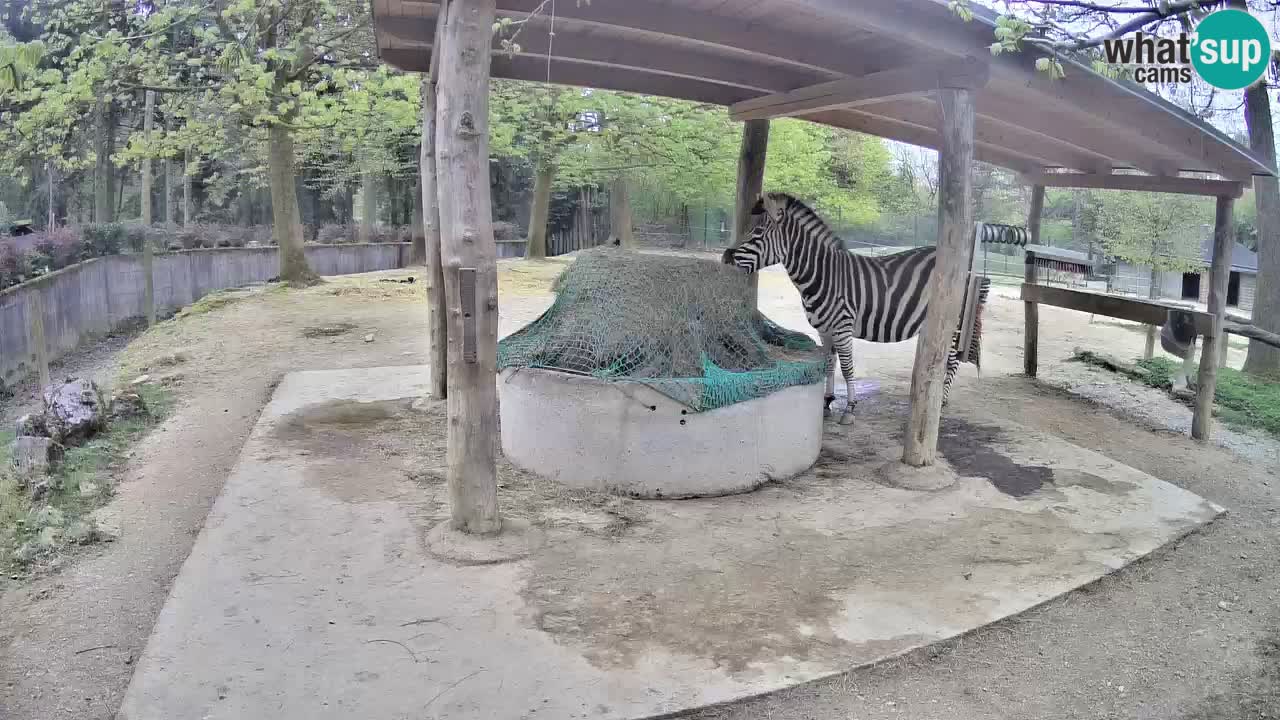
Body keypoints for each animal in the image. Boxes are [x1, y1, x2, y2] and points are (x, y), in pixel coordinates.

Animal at [722, 191, 989, 424]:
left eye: (756, 232)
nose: (725, 257)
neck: (823, 275)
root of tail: (965, 269)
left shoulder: (842, 326)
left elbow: (848, 367)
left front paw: (849, 409)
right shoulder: (824, 329)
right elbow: (829, 364)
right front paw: (827, 402)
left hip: (954, 325)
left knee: (951, 363)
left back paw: (940, 404)